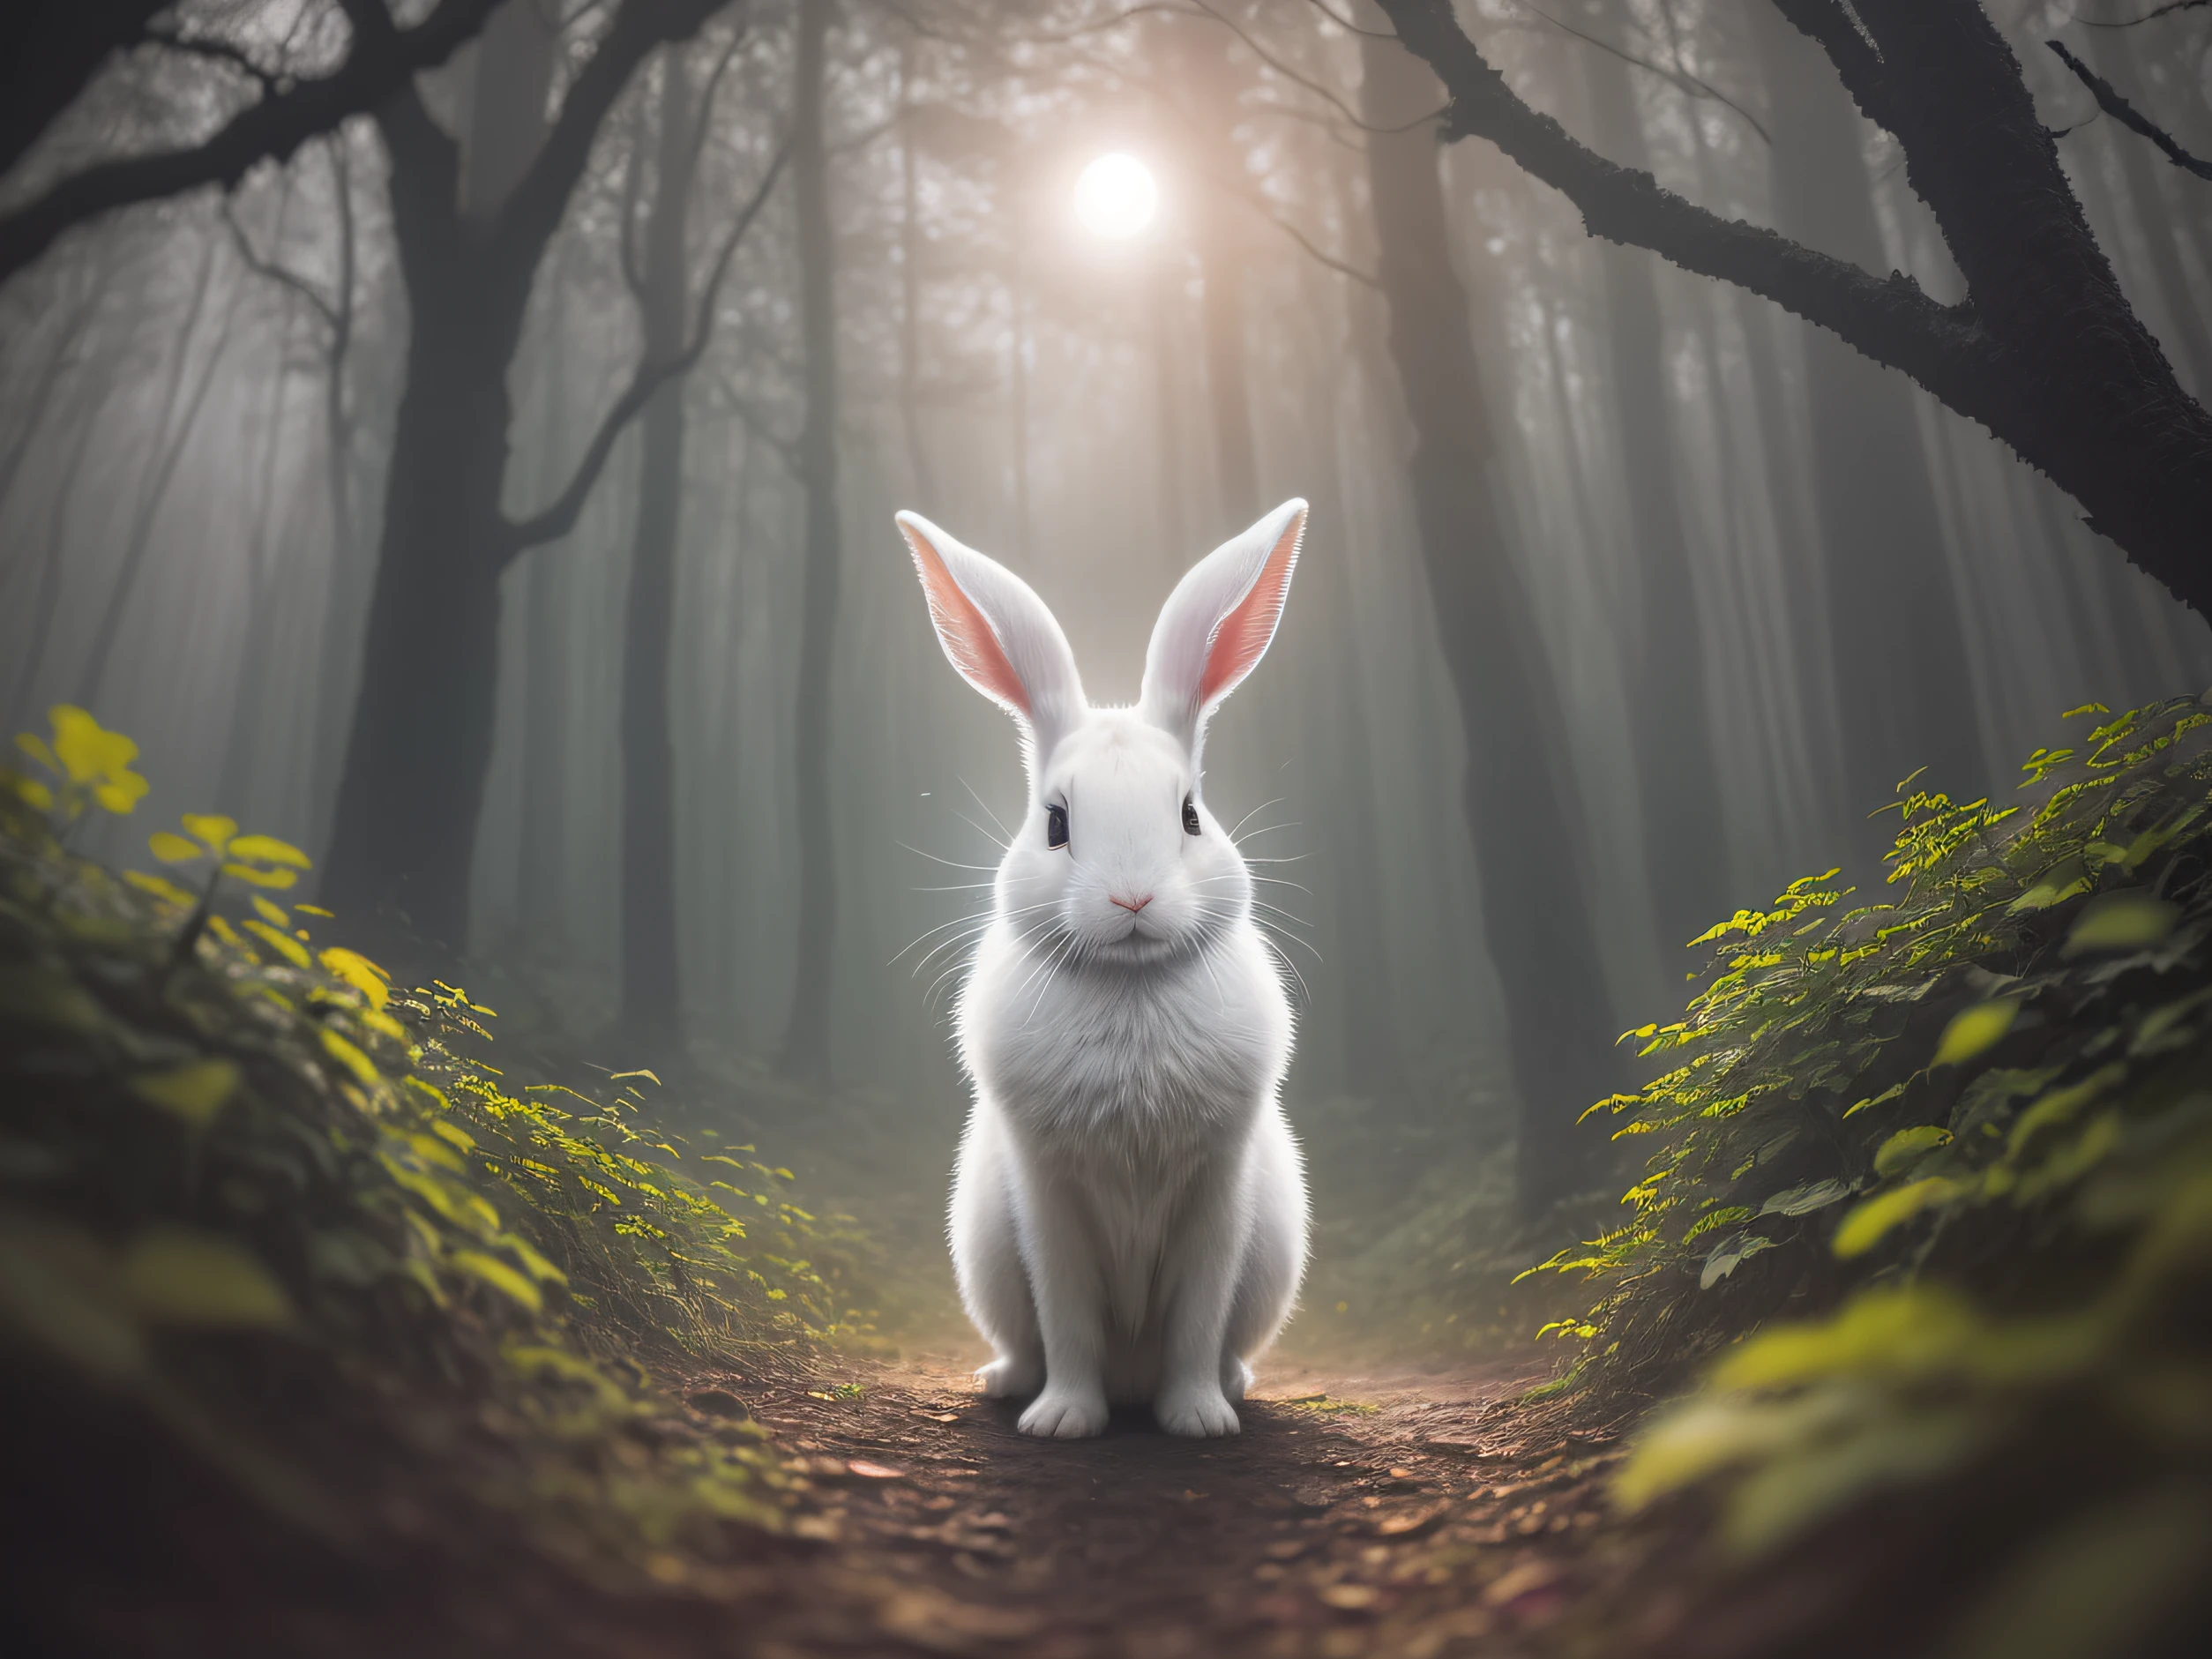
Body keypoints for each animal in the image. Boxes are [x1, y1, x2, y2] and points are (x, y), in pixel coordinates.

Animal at [898, 497, 1309, 1442]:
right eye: (1055, 824)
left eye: (1191, 814)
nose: (1131, 898)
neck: (1131, 984)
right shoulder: (1049, 1194)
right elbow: (1069, 1314)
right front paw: (1063, 1422)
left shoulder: (1215, 1190)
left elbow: (1197, 1317)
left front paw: (1197, 1420)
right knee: (1027, 1340)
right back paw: (1007, 1384)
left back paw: (1231, 1389)